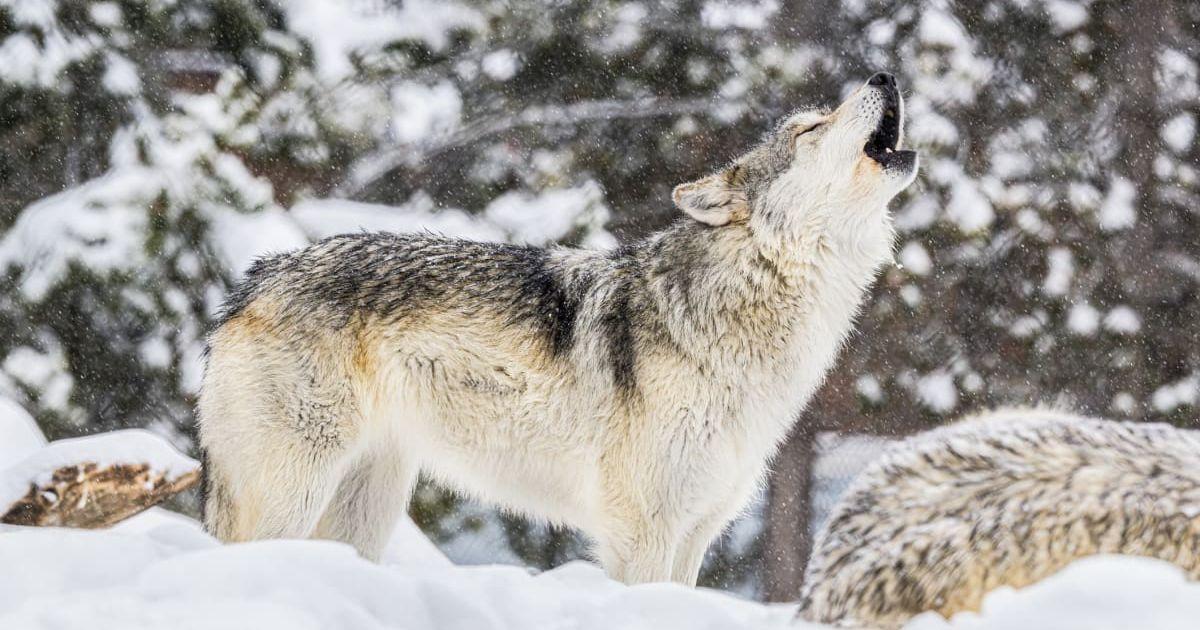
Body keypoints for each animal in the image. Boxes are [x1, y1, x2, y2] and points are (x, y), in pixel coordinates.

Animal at [198, 72, 917, 585]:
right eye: (811, 128)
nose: (885, 75)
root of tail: (255, 278)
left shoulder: (696, 531)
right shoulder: (645, 531)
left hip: (363, 509)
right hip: (292, 494)